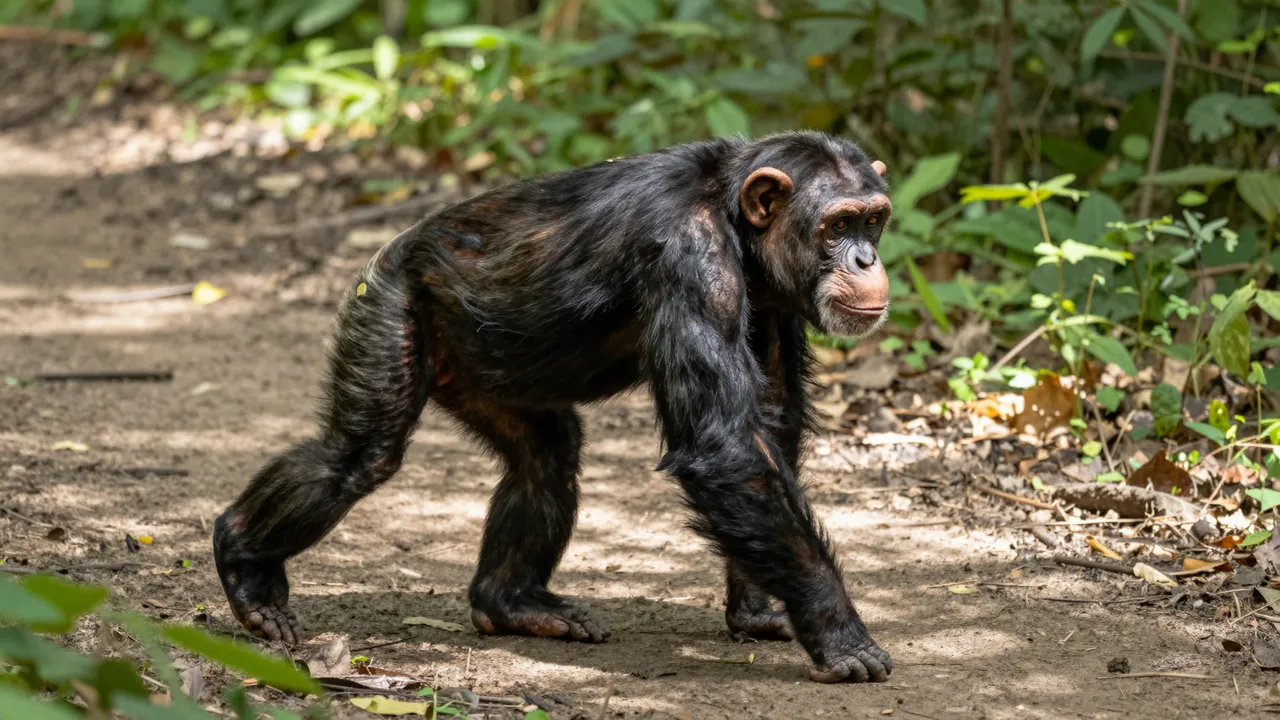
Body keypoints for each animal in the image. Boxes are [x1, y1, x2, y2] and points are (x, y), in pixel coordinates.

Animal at [213, 130, 895, 683]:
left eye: (874, 221)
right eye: (837, 227)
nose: (867, 258)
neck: (734, 219)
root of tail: (392, 249)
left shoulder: (775, 304)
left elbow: (768, 427)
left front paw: (757, 609)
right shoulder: (692, 261)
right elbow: (723, 445)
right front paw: (839, 633)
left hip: (486, 374)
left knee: (545, 456)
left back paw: (511, 602)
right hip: (385, 306)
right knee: (357, 457)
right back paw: (246, 565)